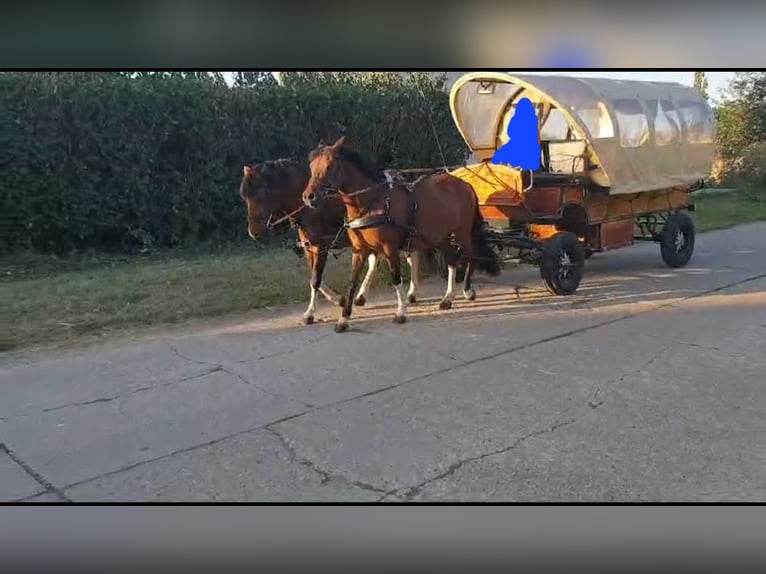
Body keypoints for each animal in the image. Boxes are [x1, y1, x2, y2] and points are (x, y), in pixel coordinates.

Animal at [238, 158, 424, 326]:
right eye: (245, 198)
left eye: (261, 195)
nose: (253, 232)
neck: (312, 209)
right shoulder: (310, 248)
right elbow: (315, 279)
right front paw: (339, 300)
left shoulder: (321, 247)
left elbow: (316, 279)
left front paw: (310, 313)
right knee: (376, 261)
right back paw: (362, 296)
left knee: (411, 255)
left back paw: (411, 293)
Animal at [304, 136, 500, 332]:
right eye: (311, 166)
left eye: (329, 165)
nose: (308, 197)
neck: (372, 203)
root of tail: (465, 184)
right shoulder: (359, 250)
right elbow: (352, 283)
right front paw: (343, 319)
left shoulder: (389, 247)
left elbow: (395, 278)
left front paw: (401, 312)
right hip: (441, 236)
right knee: (452, 259)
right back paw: (448, 298)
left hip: (462, 232)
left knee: (470, 255)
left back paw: (467, 290)